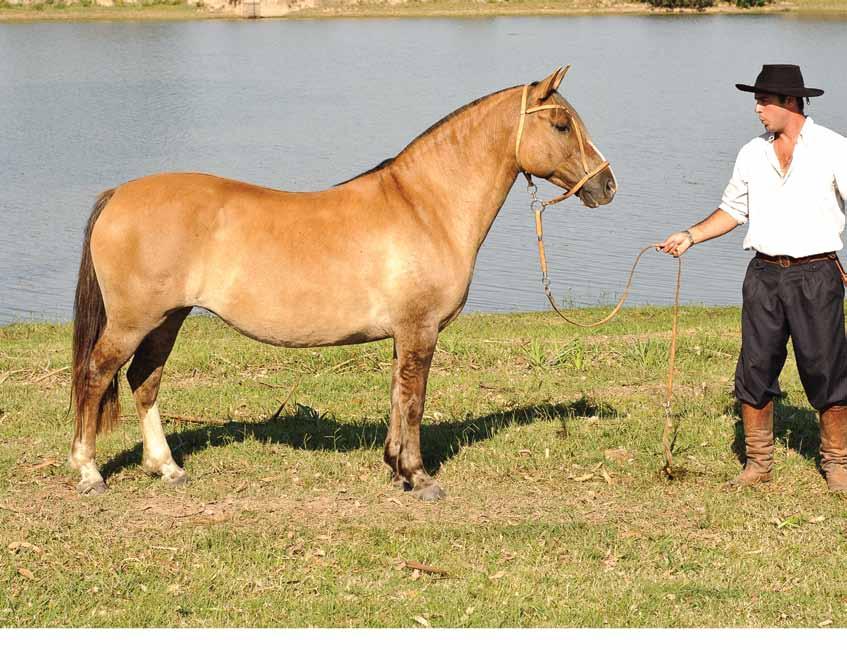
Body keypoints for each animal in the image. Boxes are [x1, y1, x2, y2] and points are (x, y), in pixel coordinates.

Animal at [69, 66, 616, 498]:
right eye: (561, 124)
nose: (607, 186)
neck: (425, 206)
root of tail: (118, 195)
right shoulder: (420, 331)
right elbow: (414, 401)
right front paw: (420, 477)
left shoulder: (404, 335)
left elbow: (398, 396)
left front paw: (396, 469)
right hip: (135, 321)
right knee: (96, 376)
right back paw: (90, 471)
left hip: (168, 318)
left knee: (144, 380)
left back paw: (167, 468)